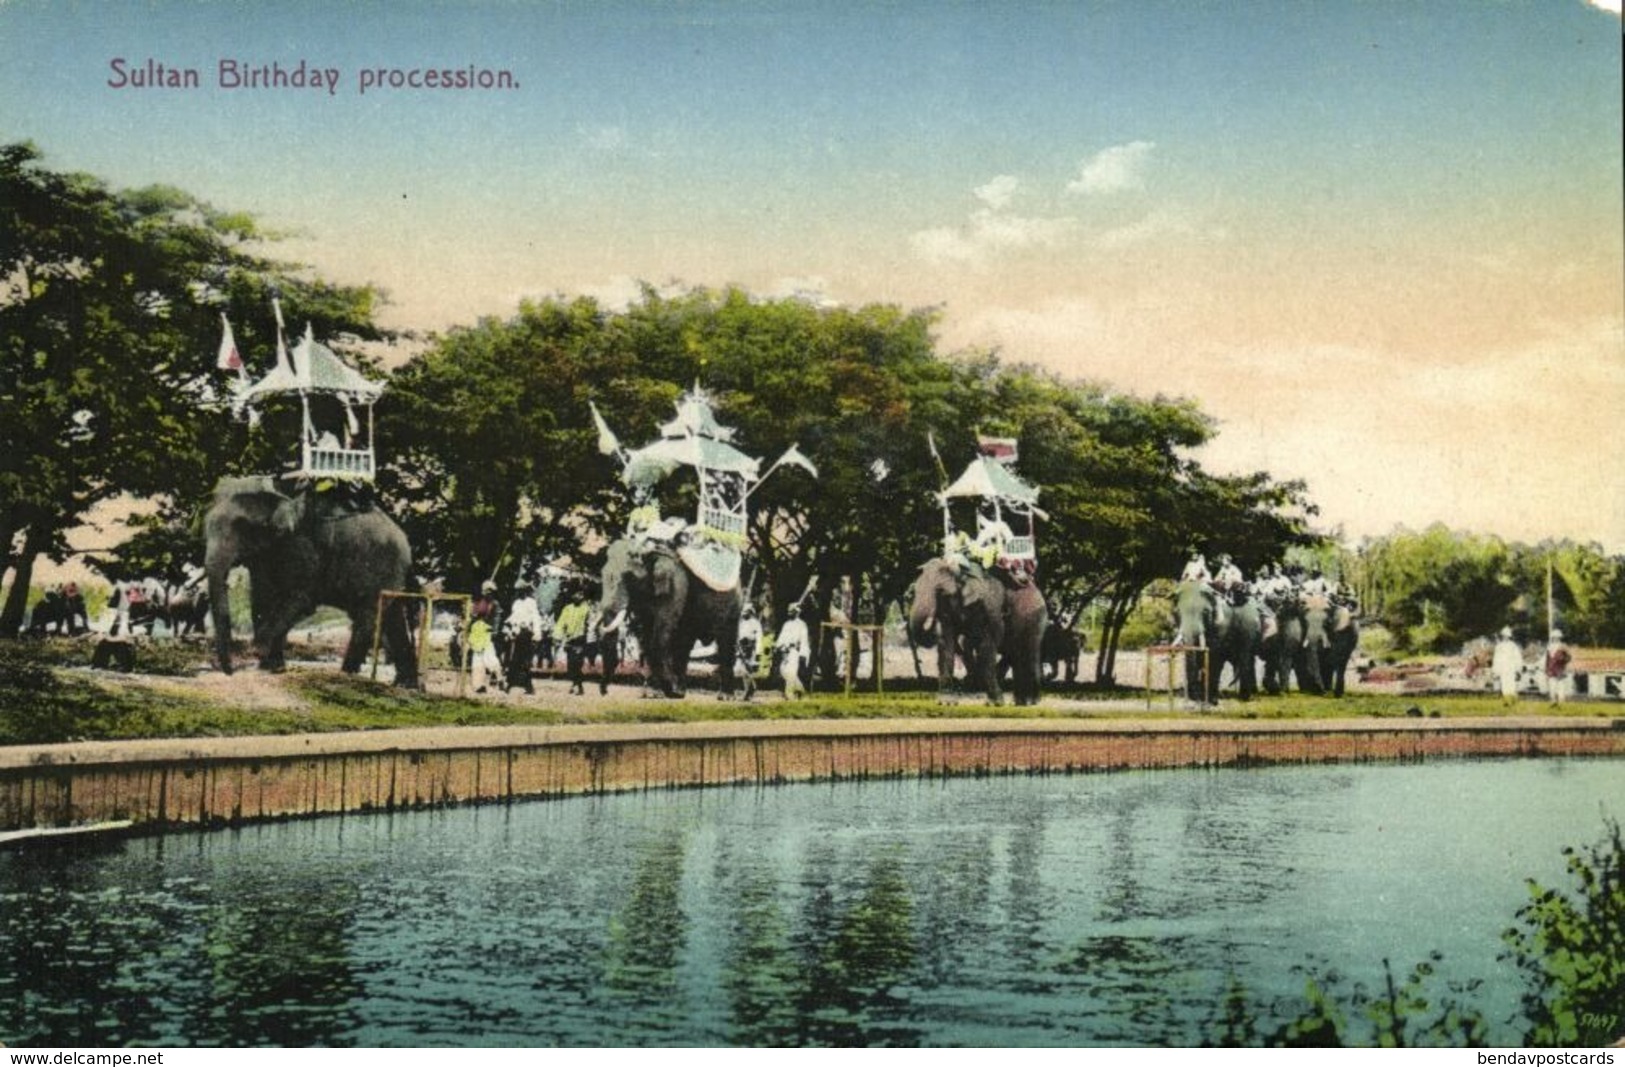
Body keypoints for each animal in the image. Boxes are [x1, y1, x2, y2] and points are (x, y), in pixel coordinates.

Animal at [201, 477, 419, 691]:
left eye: (241, 527)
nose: (230, 672)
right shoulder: (264, 556)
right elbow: (261, 598)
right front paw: (272, 668)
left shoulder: (301, 545)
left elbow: (300, 599)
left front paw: (259, 652)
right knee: (391, 618)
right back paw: (405, 685)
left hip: (382, 566)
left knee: (367, 616)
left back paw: (346, 674)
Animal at [601, 532, 741, 698]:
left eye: (629, 577)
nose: (605, 692)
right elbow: (647, 635)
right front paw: (658, 692)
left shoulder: (675, 587)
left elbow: (661, 634)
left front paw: (672, 690)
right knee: (685, 643)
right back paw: (680, 689)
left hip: (733, 605)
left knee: (726, 640)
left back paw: (725, 696)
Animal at [910, 552, 1046, 704]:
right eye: (914, 590)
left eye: (940, 591)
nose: (933, 620)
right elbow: (947, 643)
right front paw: (946, 701)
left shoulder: (990, 605)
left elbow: (989, 642)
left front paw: (996, 702)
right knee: (1014, 653)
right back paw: (1020, 701)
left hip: (1036, 617)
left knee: (1029, 651)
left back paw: (1031, 701)